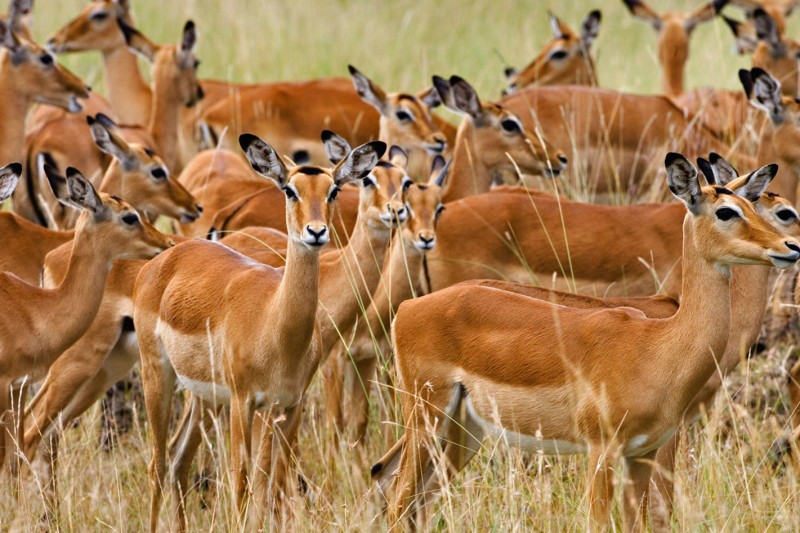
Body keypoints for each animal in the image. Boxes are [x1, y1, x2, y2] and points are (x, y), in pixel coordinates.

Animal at [374, 153, 800, 530]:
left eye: (750, 205)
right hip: (427, 419)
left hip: (463, 430)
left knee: (405, 491)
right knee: (397, 496)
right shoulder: (604, 450)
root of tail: (410, 307)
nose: (790, 248)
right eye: (726, 211)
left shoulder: (643, 452)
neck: (660, 344)